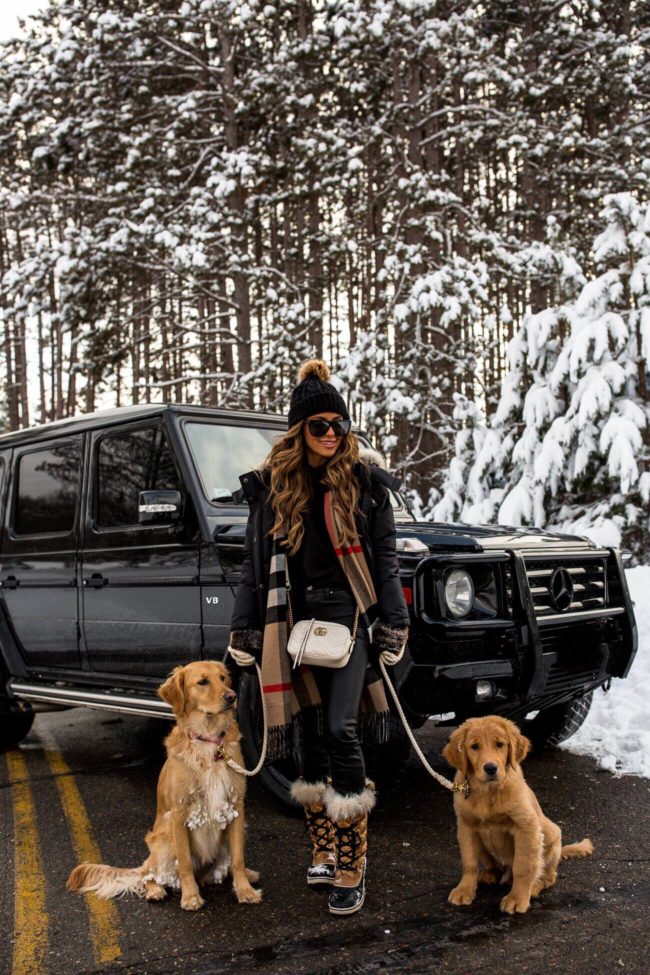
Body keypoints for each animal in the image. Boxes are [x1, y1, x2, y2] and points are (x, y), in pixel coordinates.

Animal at [66, 660, 258, 912]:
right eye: (202, 681)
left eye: (223, 678)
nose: (232, 697)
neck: (207, 739)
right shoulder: (179, 813)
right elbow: (185, 862)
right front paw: (190, 897)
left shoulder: (235, 806)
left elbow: (237, 858)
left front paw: (245, 890)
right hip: (163, 837)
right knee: (148, 875)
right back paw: (155, 890)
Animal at [442, 716, 588, 916]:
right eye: (474, 746)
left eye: (499, 744)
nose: (490, 768)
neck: (488, 792)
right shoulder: (466, 826)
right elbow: (469, 862)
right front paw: (464, 890)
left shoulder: (526, 827)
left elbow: (523, 866)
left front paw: (517, 899)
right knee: (493, 865)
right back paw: (490, 874)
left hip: (550, 834)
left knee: (548, 875)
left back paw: (534, 886)